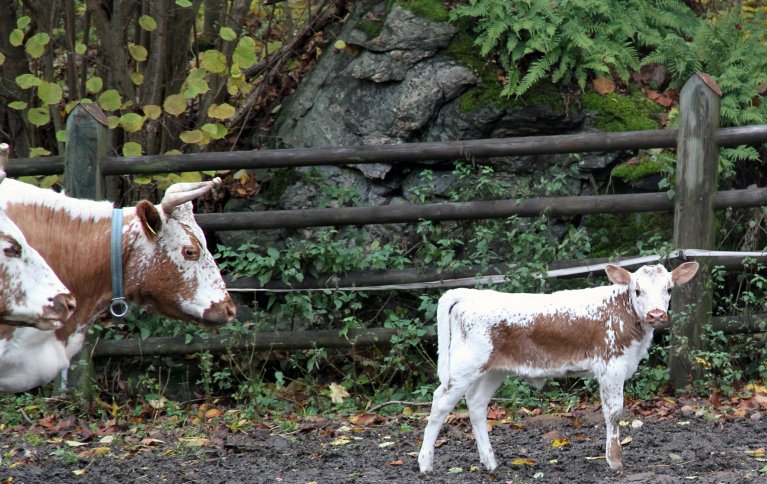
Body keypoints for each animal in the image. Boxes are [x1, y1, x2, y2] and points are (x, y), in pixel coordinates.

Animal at [420, 262, 704, 474]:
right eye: (637, 290)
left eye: (669, 289)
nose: (656, 315)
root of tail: (473, 294)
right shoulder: (611, 367)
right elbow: (614, 413)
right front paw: (614, 461)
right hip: (465, 365)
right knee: (440, 403)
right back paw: (425, 464)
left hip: (493, 369)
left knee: (476, 404)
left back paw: (490, 462)